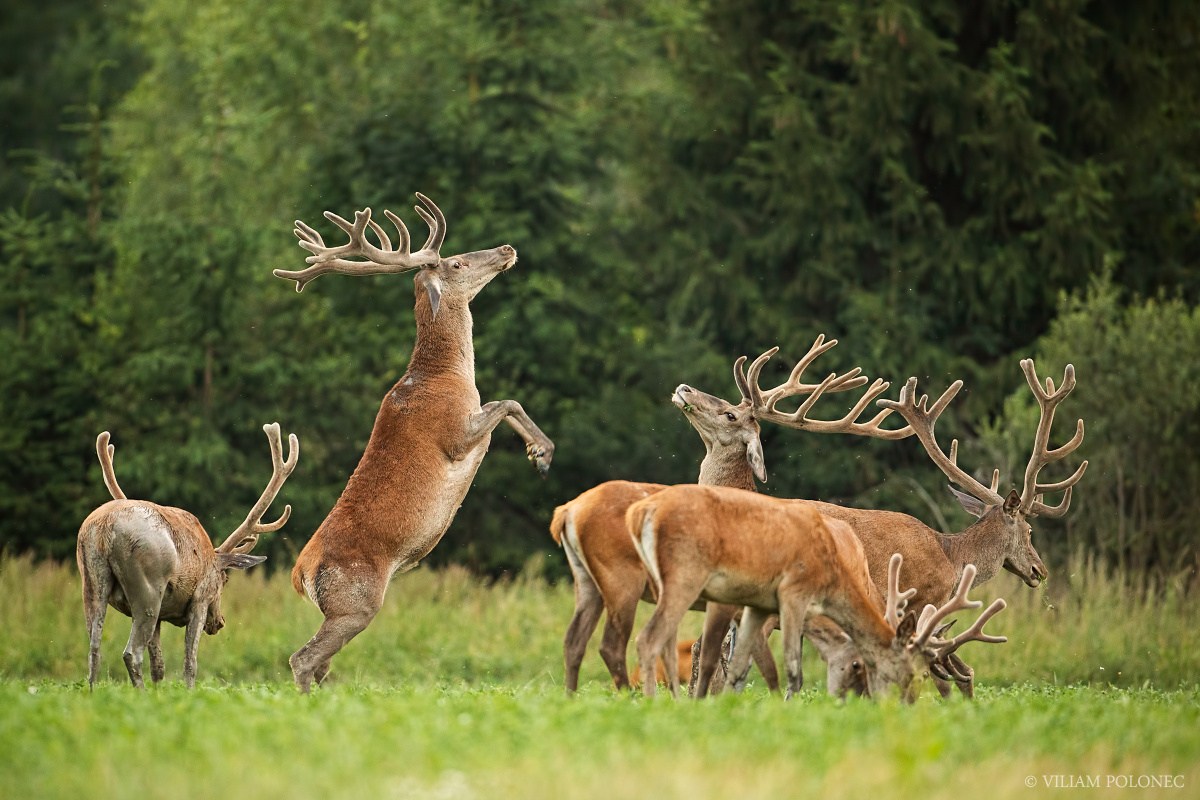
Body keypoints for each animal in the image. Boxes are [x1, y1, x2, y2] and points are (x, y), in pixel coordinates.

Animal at [77, 422, 297, 690]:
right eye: (224, 580)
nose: (220, 621)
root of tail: (105, 528)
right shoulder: (200, 600)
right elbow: (190, 664)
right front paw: (189, 692)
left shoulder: (162, 617)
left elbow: (159, 666)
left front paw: (160, 692)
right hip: (148, 589)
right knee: (131, 652)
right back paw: (138, 693)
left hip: (91, 582)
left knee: (94, 649)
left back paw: (94, 692)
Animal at [276, 195, 552, 695]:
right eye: (457, 261)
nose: (506, 248)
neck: (446, 376)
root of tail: (299, 574)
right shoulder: (455, 434)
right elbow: (508, 402)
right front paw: (543, 453)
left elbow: (506, 405)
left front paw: (538, 454)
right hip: (356, 602)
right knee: (303, 659)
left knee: (317, 663)